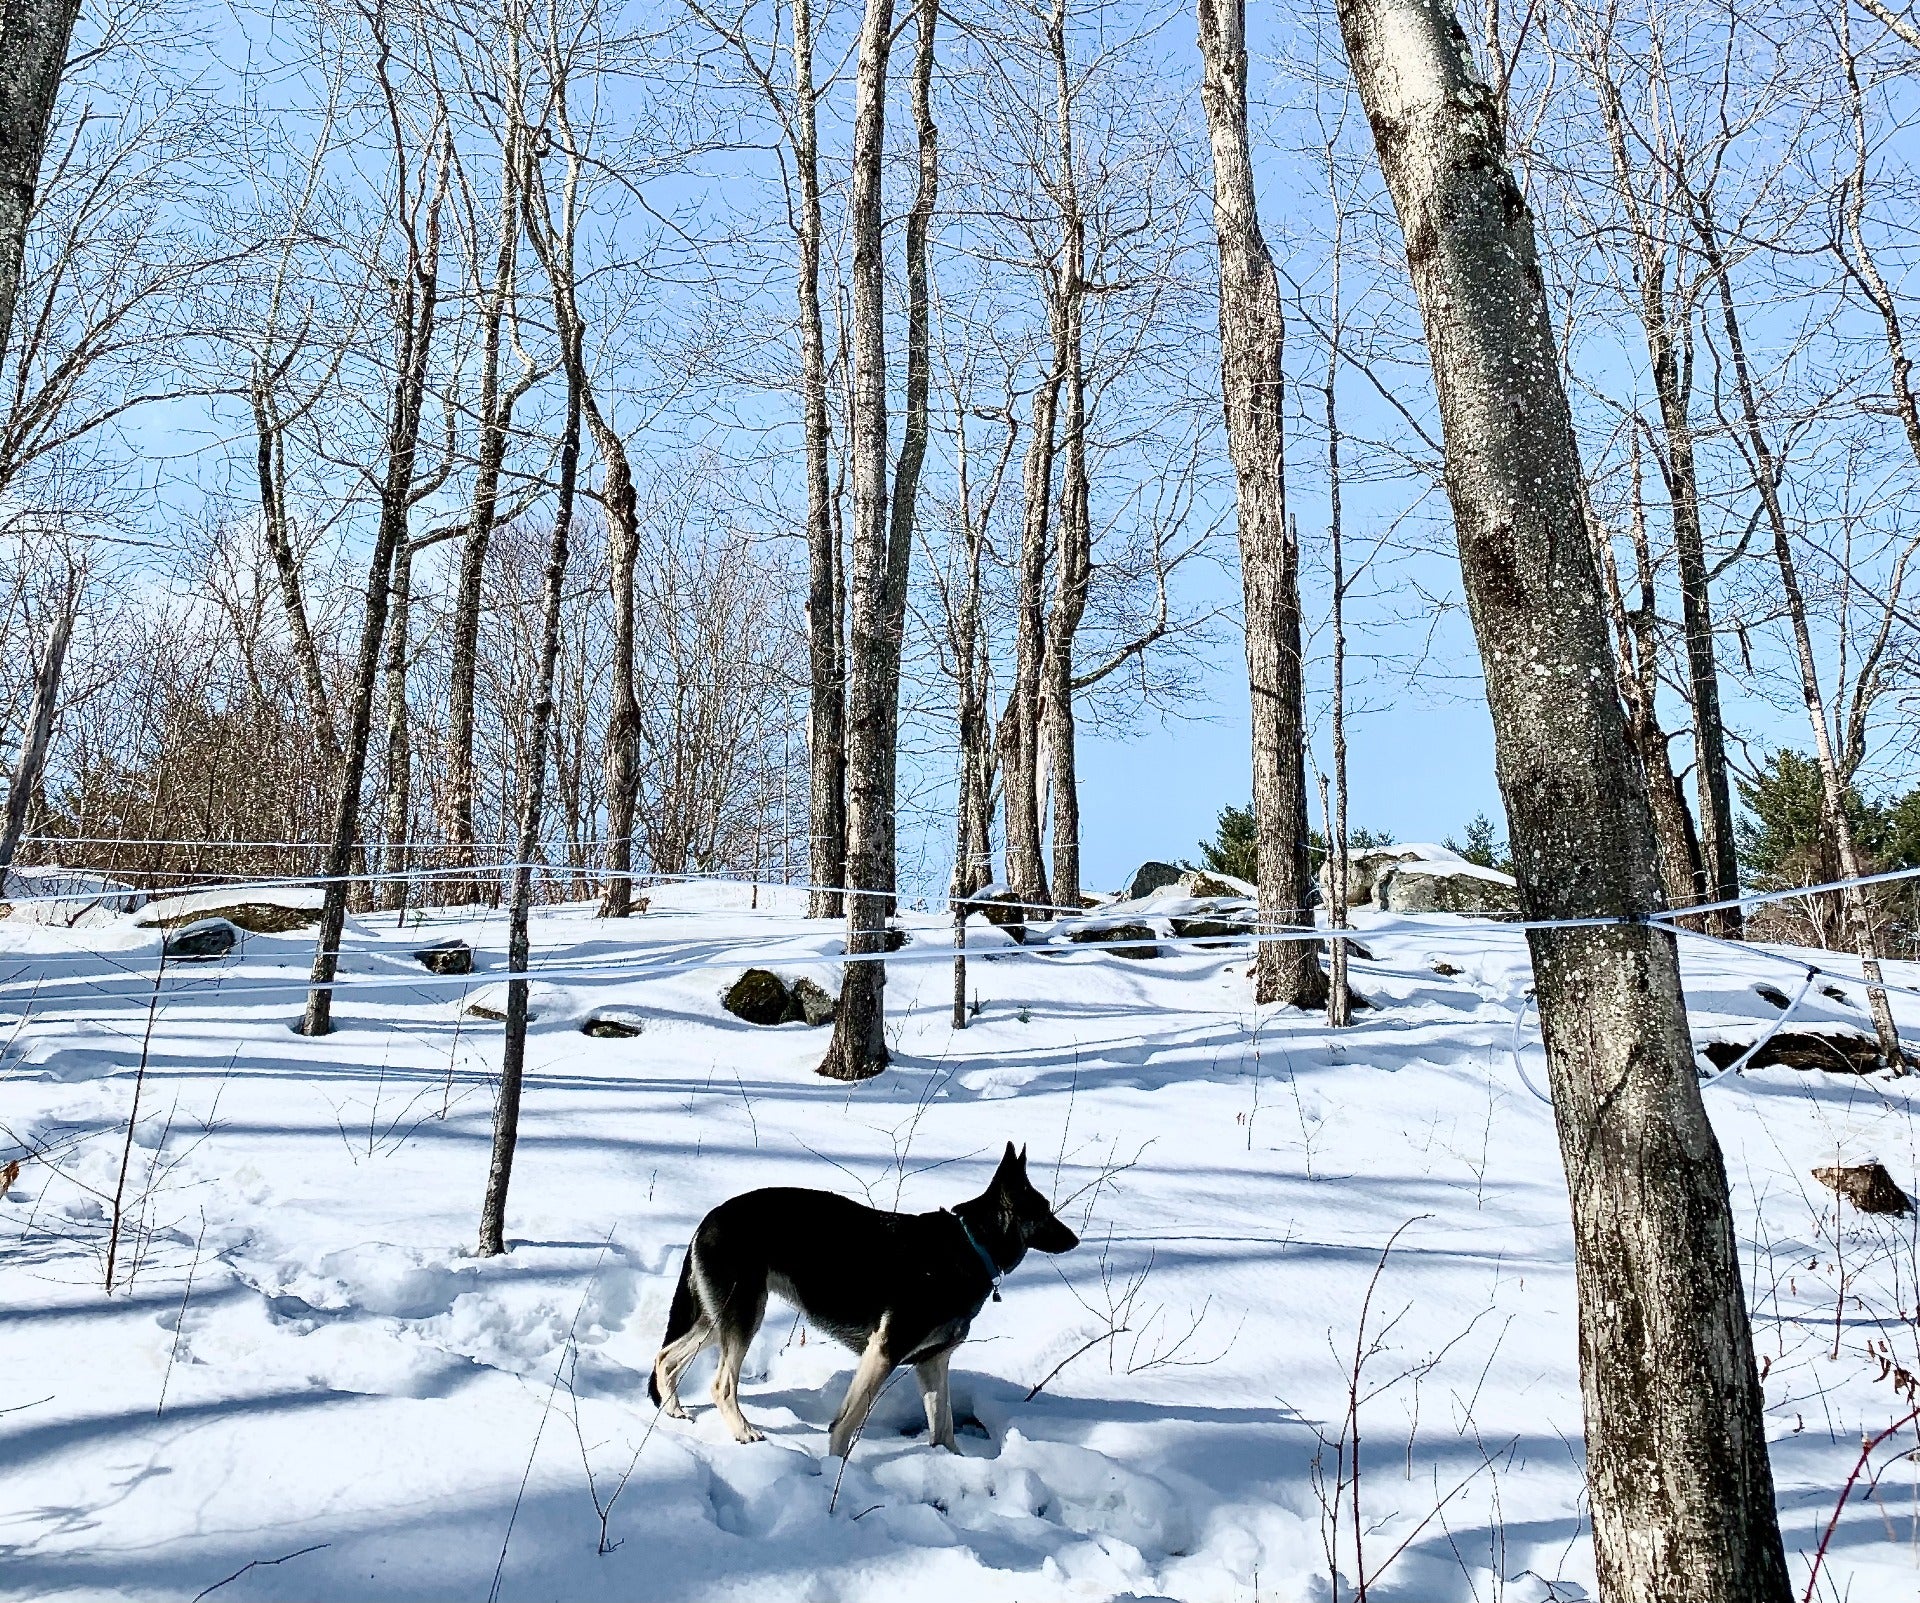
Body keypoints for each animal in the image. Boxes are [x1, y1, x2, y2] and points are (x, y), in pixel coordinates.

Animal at [648, 1143, 1079, 1457]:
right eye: (1044, 1212)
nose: (1076, 1240)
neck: (971, 1246)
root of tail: (709, 1218)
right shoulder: (883, 1351)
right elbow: (846, 1423)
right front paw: (834, 1470)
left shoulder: (933, 1363)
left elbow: (943, 1427)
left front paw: (953, 1465)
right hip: (744, 1316)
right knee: (722, 1384)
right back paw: (744, 1432)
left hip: (719, 1318)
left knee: (666, 1357)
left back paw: (674, 1410)